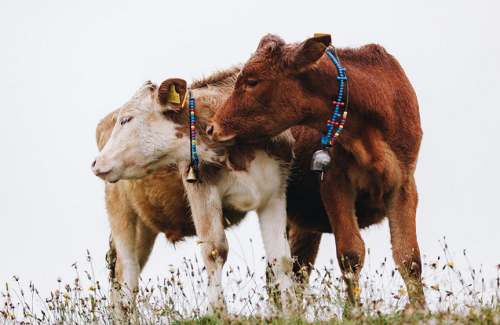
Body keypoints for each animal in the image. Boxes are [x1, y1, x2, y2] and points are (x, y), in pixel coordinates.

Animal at [207, 34, 426, 308]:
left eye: (252, 81)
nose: (212, 127)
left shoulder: (405, 183)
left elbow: (409, 258)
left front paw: (421, 310)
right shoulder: (333, 182)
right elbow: (350, 253)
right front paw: (355, 312)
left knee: (295, 270)